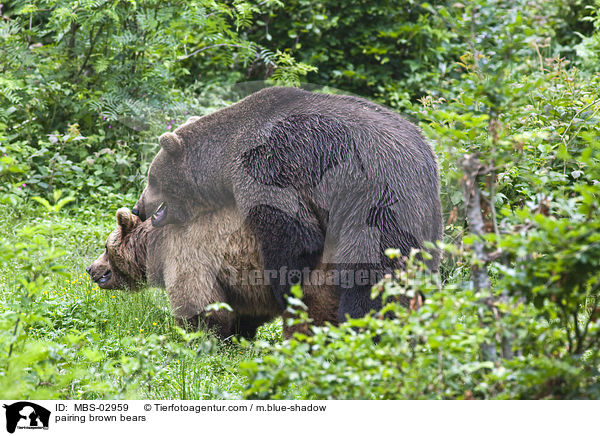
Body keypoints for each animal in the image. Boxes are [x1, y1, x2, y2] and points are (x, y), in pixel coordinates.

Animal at [85, 206, 338, 338]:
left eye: (105, 247)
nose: (90, 268)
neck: (154, 249)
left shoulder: (188, 254)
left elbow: (198, 302)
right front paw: (238, 337)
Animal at [134, 87, 442, 322]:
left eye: (151, 178)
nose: (138, 208)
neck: (224, 158)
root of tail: (425, 160)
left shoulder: (268, 167)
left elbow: (293, 235)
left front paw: (285, 291)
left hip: (375, 200)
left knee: (370, 271)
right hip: (428, 222)